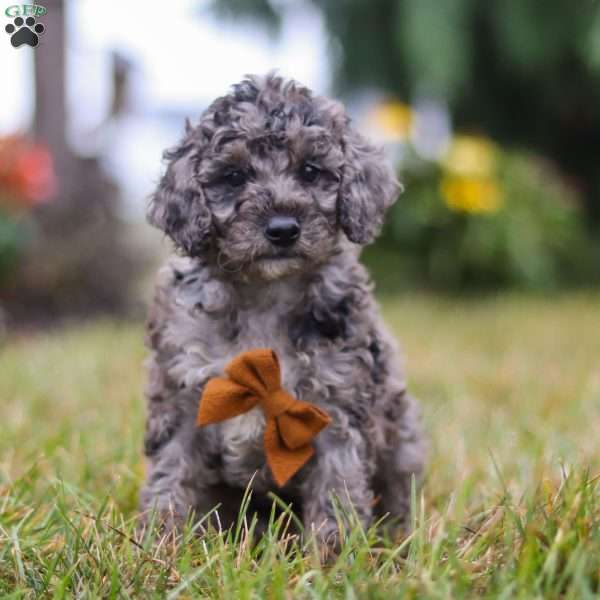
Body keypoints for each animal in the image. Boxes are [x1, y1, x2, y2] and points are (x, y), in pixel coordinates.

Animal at [138, 72, 424, 552]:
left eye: (310, 171)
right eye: (234, 177)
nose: (283, 229)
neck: (265, 294)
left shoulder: (337, 405)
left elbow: (338, 490)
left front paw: (333, 556)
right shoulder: (182, 396)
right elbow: (171, 475)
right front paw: (159, 545)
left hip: (403, 433)